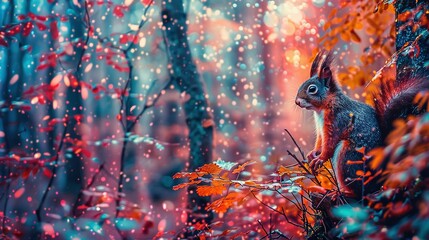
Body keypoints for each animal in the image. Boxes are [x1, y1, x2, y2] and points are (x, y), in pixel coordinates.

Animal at [294, 49, 428, 198]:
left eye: (312, 89)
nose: (297, 102)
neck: (322, 108)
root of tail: (378, 178)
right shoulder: (320, 128)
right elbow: (319, 141)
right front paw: (313, 153)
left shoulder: (338, 121)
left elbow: (329, 143)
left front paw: (320, 158)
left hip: (348, 156)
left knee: (359, 191)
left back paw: (342, 192)